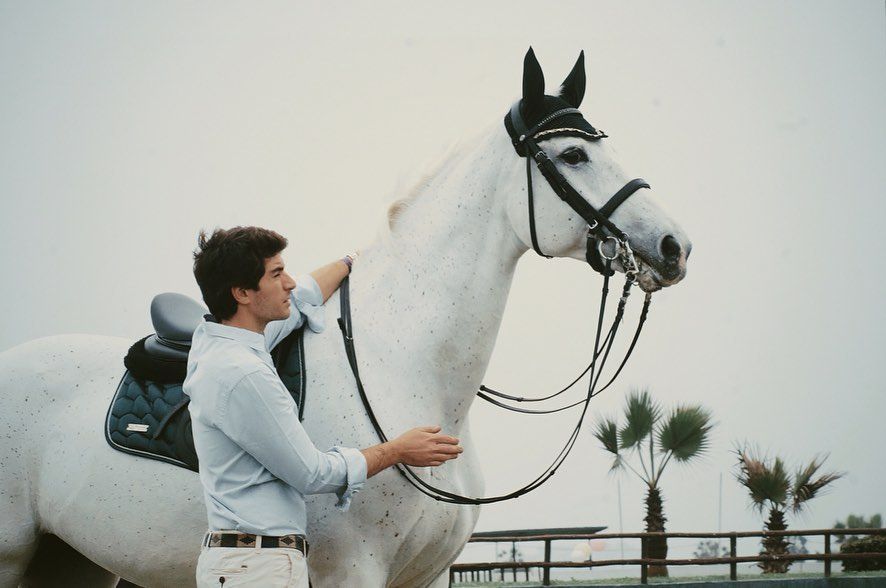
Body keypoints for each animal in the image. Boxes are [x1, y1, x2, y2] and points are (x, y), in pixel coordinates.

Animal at [0, 51, 692, 588]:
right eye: (573, 155)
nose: (675, 246)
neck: (403, 364)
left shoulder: (428, 575)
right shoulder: (353, 570)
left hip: (72, 560)